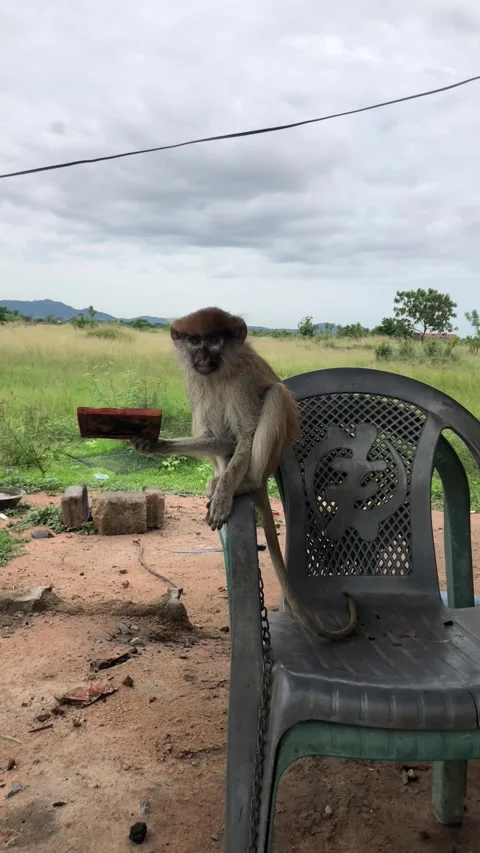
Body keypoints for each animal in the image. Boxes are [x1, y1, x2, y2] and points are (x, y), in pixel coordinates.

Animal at [131, 306, 357, 641]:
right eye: (194, 340)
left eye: (214, 339)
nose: (202, 355)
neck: (220, 372)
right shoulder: (199, 384)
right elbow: (219, 437)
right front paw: (153, 444)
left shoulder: (243, 380)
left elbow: (247, 434)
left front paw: (225, 495)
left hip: (265, 458)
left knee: (275, 396)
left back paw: (244, 484)